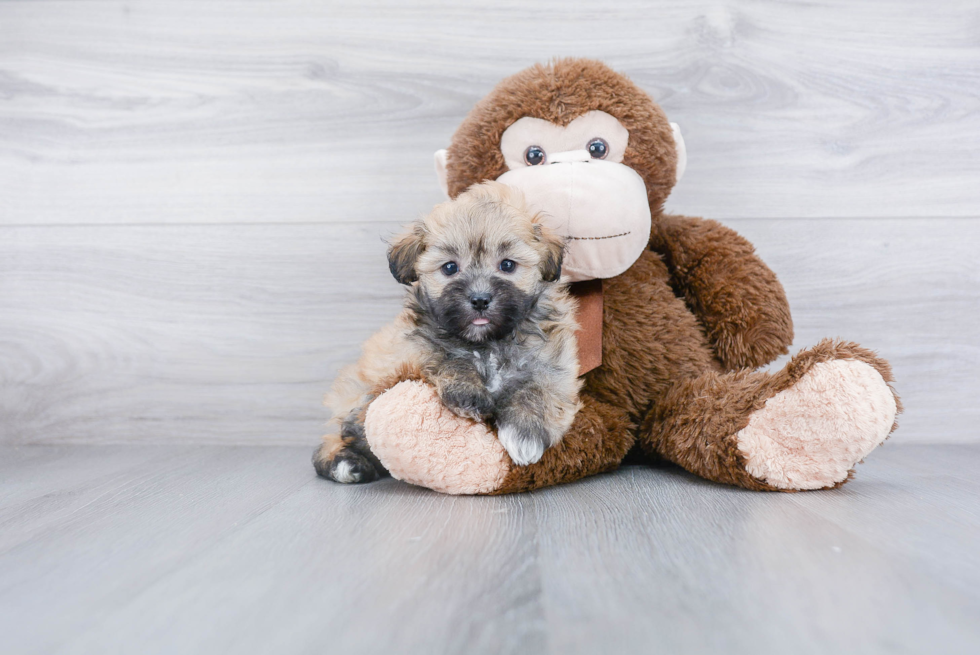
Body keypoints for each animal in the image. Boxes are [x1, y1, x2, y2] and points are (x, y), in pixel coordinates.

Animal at [316, 182, 580, 484]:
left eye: (507, 265)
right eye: (450, 267)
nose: (480, 299)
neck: (488, 344)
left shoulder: (554, 365)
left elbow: (538, 389)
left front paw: (526, 434)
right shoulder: (411, 353)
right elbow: (449, 359)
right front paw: (469, 396)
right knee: (341, 432)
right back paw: (346, 463)